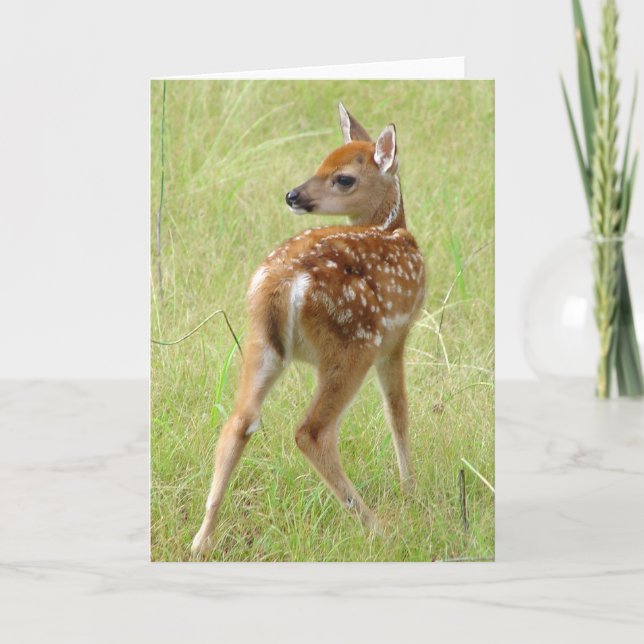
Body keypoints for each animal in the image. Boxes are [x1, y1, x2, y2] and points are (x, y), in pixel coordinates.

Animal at [191, 103, 426, 556]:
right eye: (320, 163)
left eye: (343, 176)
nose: (292, 195)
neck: (394, 228)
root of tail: (280, 283)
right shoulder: (396, 336)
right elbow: (398, 411)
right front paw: (410, 489)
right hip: (352, 345)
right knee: (311, 432)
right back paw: (376, 526)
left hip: (259, 343)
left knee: (237, 421)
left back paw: (201, 539)